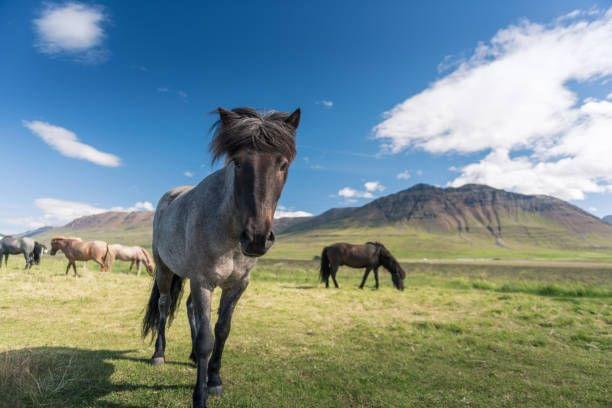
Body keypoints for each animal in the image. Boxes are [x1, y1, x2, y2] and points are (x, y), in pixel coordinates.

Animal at [141, 107, 298, 406]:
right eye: (237, 163)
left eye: (283, 165)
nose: (257, 238)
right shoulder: (203, 281)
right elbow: (206, 339)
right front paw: (199, 395)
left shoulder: (237, 285)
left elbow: (222, 330)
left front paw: (213, 379)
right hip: (165, 270)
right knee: (165, 306)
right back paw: (159, 354)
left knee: (189, 307)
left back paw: (192, 357)